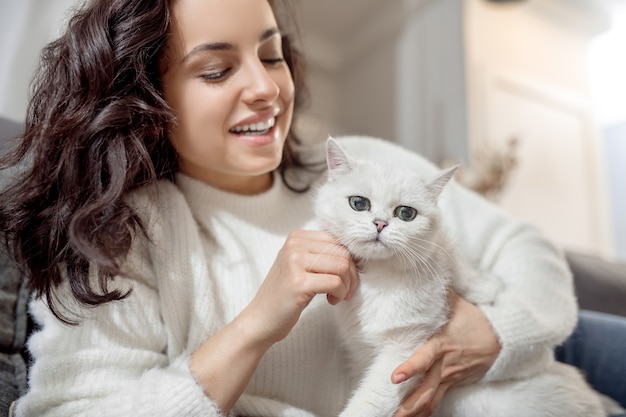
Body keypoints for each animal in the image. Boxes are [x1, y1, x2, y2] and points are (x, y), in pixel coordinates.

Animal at [314, 137, 604, 416]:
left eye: (406, 213)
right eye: (359, 203)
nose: (380, 224)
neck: (379, 276)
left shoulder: (404, 349)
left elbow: (368, 404)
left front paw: (485, 288)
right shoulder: (361, 354)